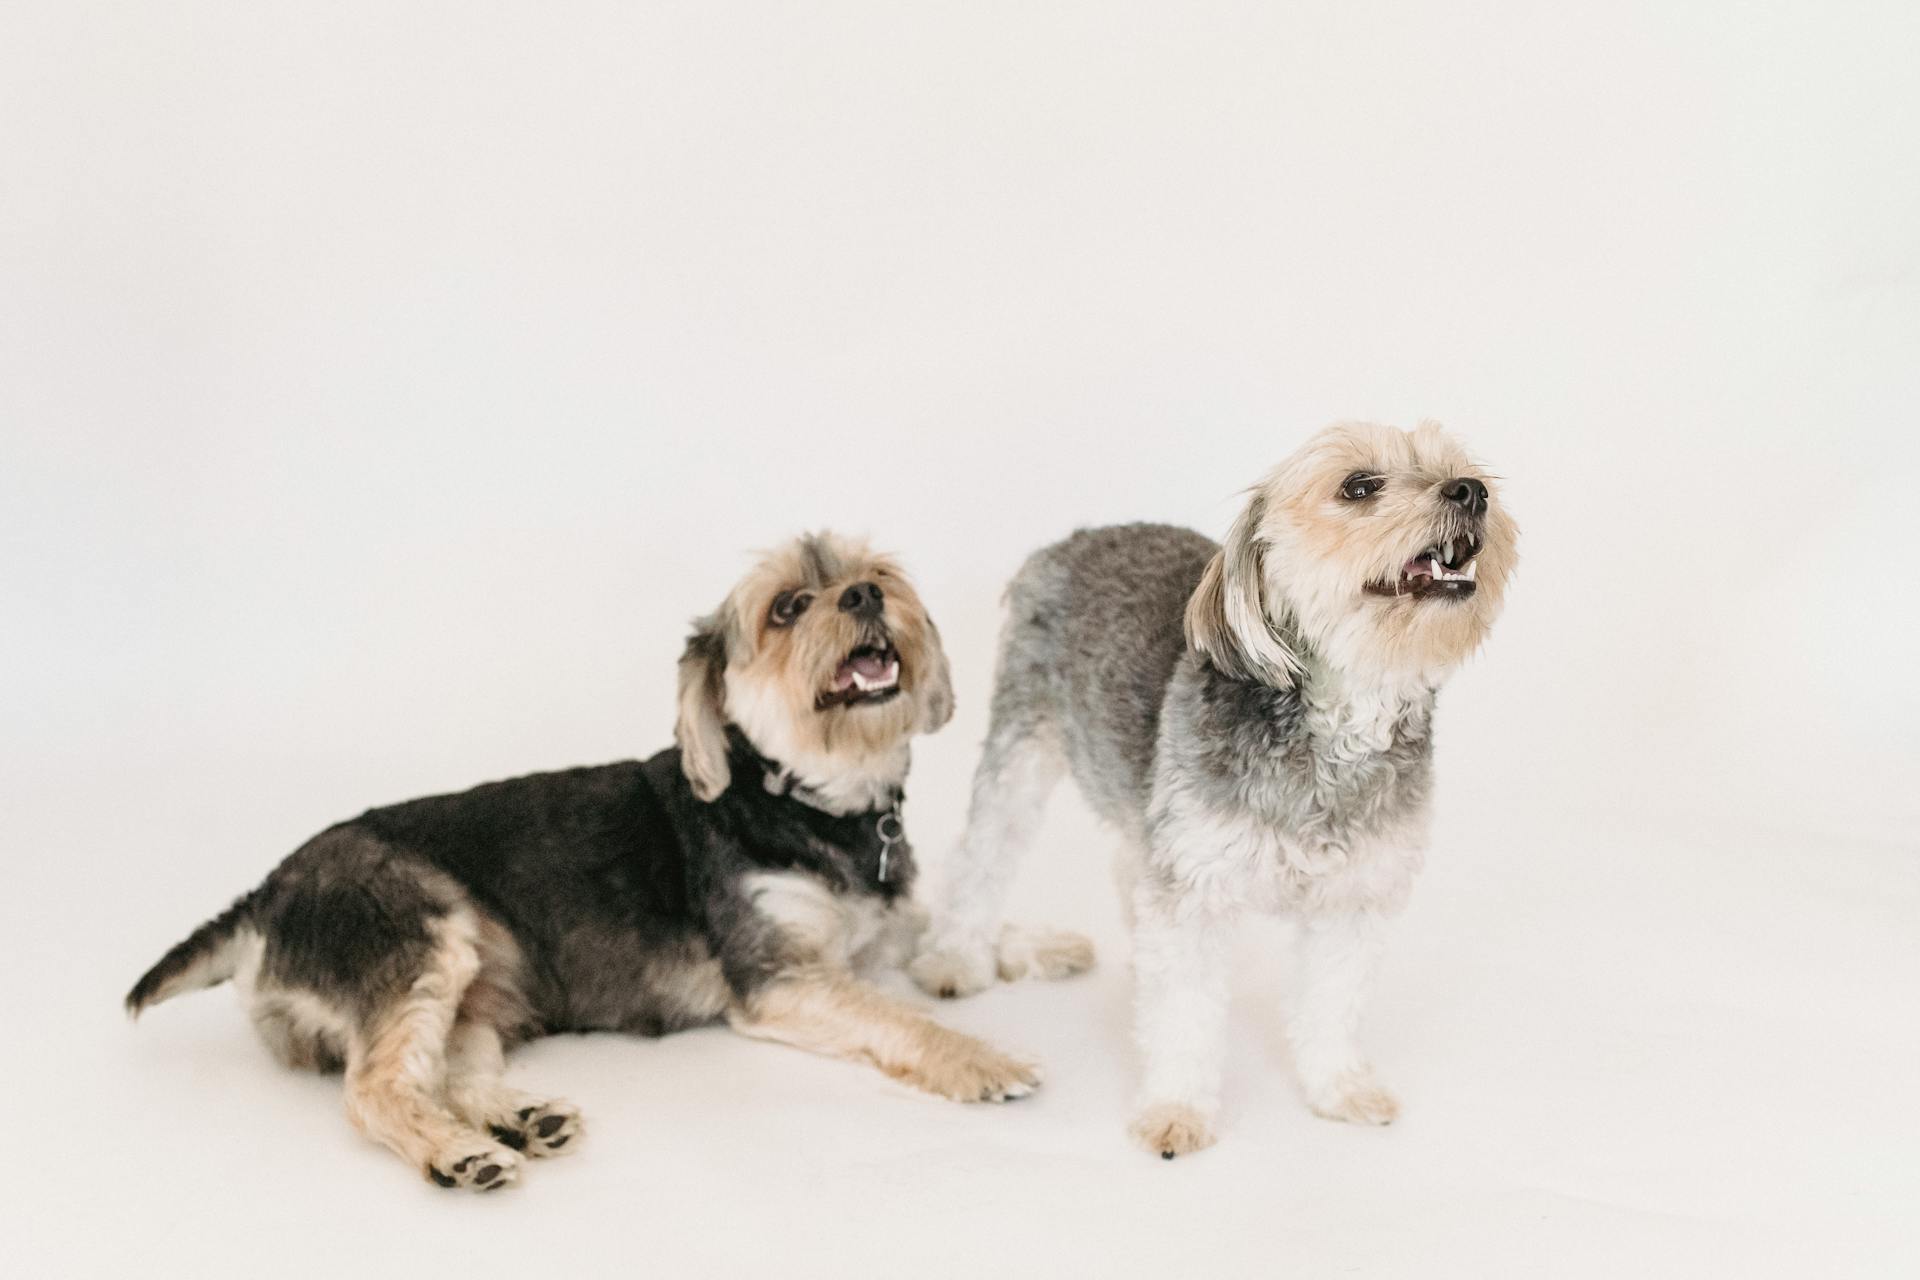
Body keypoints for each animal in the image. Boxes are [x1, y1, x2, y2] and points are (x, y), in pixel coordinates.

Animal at [906, 422, 1520, 1159]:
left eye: (1460, 467)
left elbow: (1331, 1004)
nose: (1472, 491)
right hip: (1023, 741)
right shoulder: (1193, 890)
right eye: (1358, 486)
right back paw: (957, 956)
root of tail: (1074, 539)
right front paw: (1175, 1110)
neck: (1335, 727)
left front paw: (1339, 1088)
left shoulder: (1354, 896)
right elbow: (1186, 1016)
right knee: (983, 856)